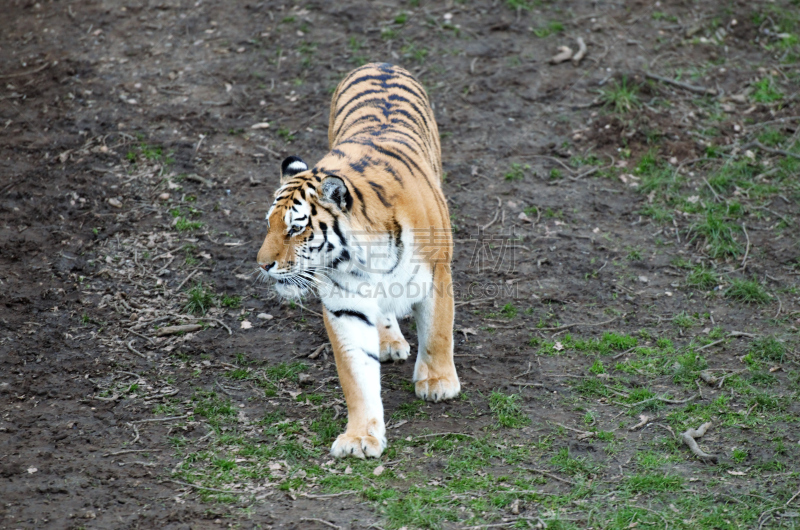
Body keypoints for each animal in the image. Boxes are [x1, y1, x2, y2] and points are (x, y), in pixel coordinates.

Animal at [253, 64, 460, 456]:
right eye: (269, 224)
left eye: (296, 228)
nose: (263, 264)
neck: (364, 257)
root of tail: (380, 63)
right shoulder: (344, 305)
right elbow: (356, 375)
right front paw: (361, 437)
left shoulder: (436, 276)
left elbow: (438, 331)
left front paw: (438, 382)